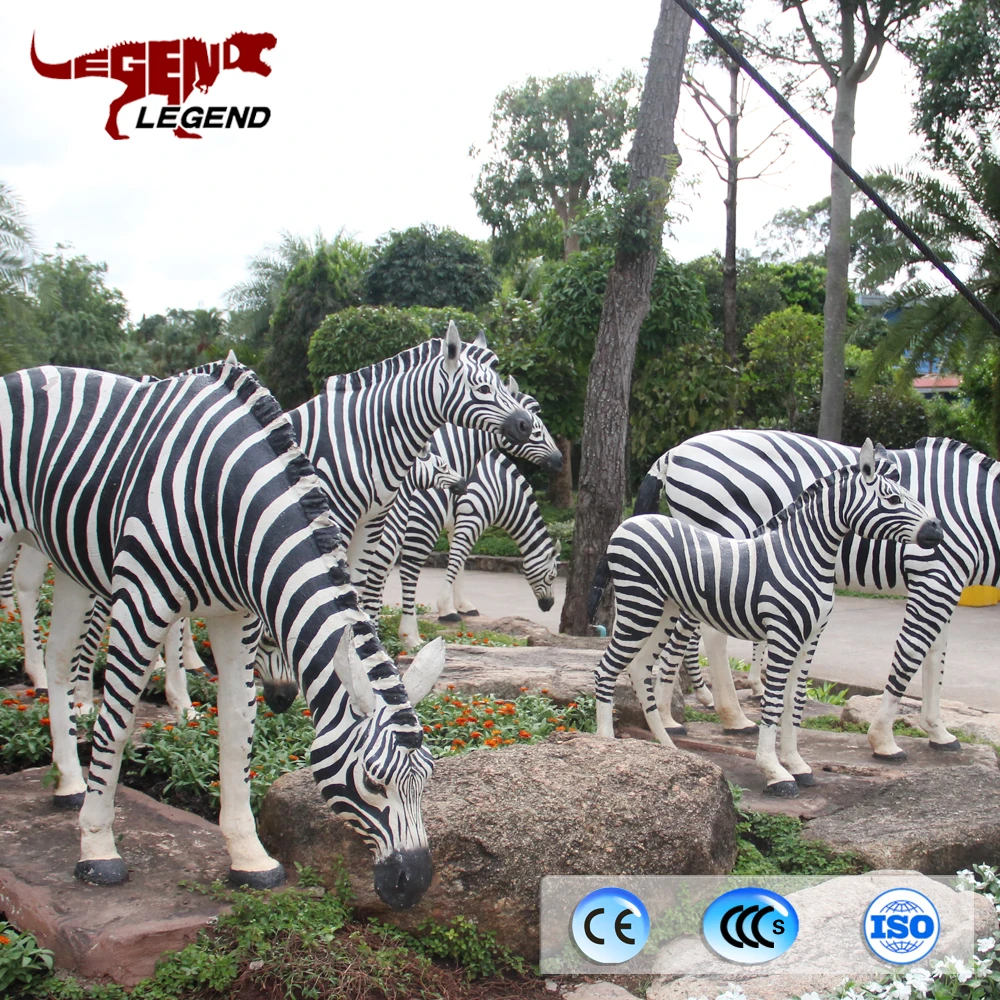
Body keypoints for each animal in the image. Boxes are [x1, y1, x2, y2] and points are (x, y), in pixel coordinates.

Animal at [0, 360, 448, 907]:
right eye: (372, 779)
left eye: (427, 778)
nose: (415, 885)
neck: (228, 501)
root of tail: (28, 372)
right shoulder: (141, 603)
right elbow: (118, 724)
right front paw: (98, 850)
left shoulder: (236, 617)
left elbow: (238, 732)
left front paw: (250, 857)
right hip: (11, 535)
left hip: (70, 563)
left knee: (60, 659)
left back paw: (67, 780)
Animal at [588, 440, 943, 796]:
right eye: (893, 499)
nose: (937, 529)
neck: (804, 555)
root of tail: (630, 524)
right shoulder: (784, 634)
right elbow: (772, 703)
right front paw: (775, 771)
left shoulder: (810, 638)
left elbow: (795, 702)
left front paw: (797, 764)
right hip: (639, 604)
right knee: (607, 668)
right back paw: (607, 743)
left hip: (664, 610)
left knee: (638, 668)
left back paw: (666, 748)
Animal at [635, 430, 1000, 760]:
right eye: (894, 499)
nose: (937, 530)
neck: (977, 506)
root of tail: (673, 452)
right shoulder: (935, 574)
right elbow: (912, 653)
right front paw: (884, 738)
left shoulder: (947, 583)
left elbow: (935, 655)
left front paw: (938, 731)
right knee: (707, 633)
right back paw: (717, 718)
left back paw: (687, 714)